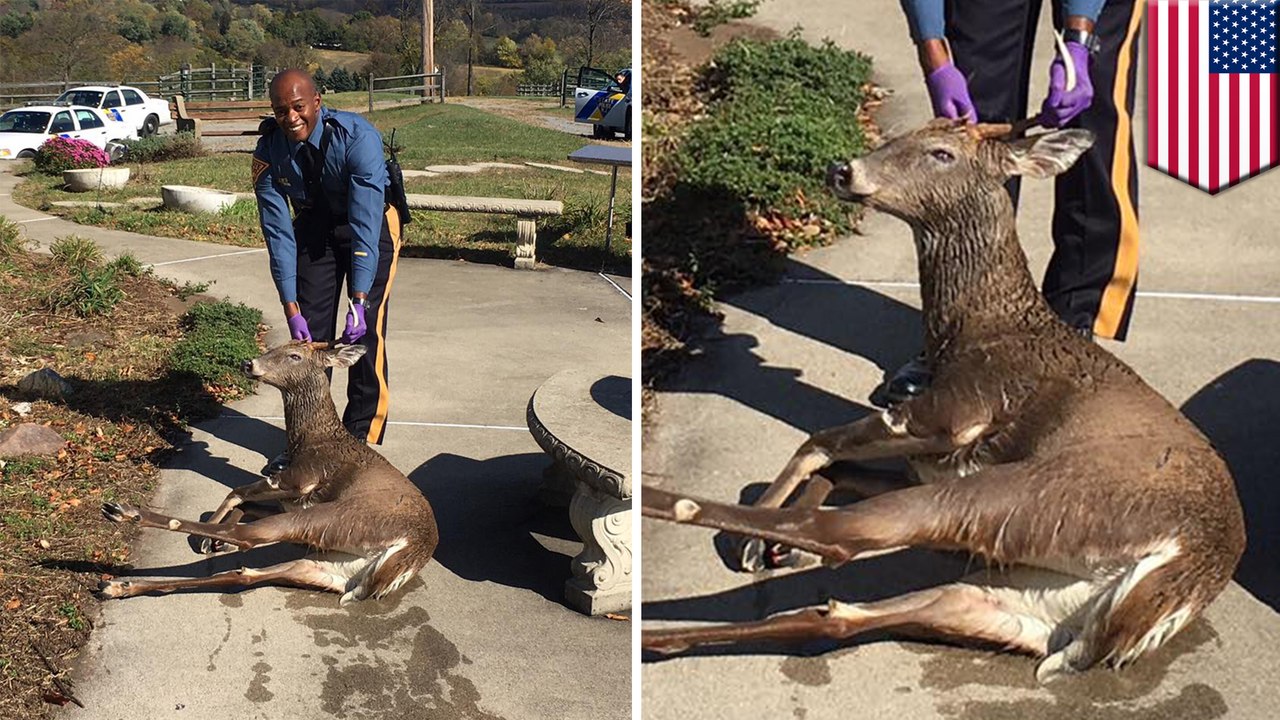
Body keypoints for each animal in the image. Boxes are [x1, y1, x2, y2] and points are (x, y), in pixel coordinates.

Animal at [98, 341, 439, 605]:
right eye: (279, 345)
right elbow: (245, 499)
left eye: (295, 355)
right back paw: (117, 586)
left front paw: (204, 537)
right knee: (246, 573)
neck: (311, 439)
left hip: (341, 517)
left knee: (248, 537)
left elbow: (238, 490)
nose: (249, 363)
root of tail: (405, 559)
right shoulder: (291, 498)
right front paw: (211, 539)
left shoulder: (301, 478)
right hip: (333, 566)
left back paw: (124, 513)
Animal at [641, 119, 1246, 683]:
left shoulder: (954, 412)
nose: (843, 170)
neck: (974, 329)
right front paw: (767, 548)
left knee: (836, 535)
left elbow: (821, 440)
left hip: (1039, 496)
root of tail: (1180, 581)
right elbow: (837, 464)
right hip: (1027, 600)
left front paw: (745, 544)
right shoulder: (927, 461)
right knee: (845, 613)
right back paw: (660, 637)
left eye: (941, 152)